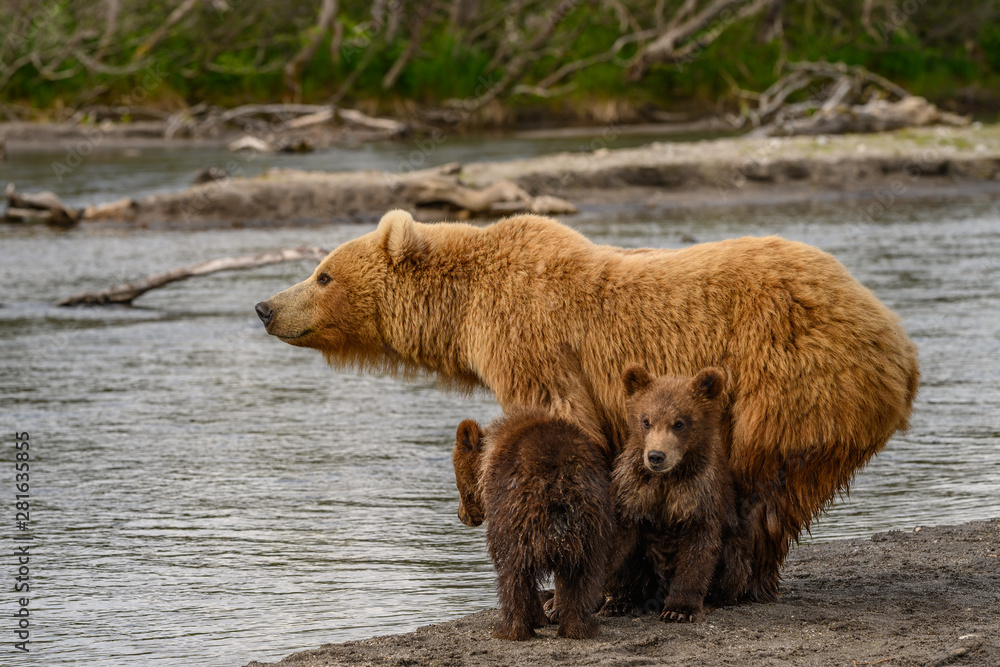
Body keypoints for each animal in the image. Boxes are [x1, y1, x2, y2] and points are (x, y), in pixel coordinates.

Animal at [452, 410, 614, 640]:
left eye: (457, 481)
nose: (461, 516)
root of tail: (559, 490)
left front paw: (537, 618)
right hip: (591, 526)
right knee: (582, 577)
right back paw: (577, 628)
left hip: (517, 518)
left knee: (513, 574)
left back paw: (511, 629)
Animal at [600, 365, 750, 623]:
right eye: (646, 421)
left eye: (679, 423)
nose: (656, 456)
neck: (667, 478)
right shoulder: (632, 491)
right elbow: (615, 541)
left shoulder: (698, 494)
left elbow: (698, 549)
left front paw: (680, 609)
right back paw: (622, 603)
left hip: (735, 543)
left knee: (735, 563)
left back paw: (711, 601)